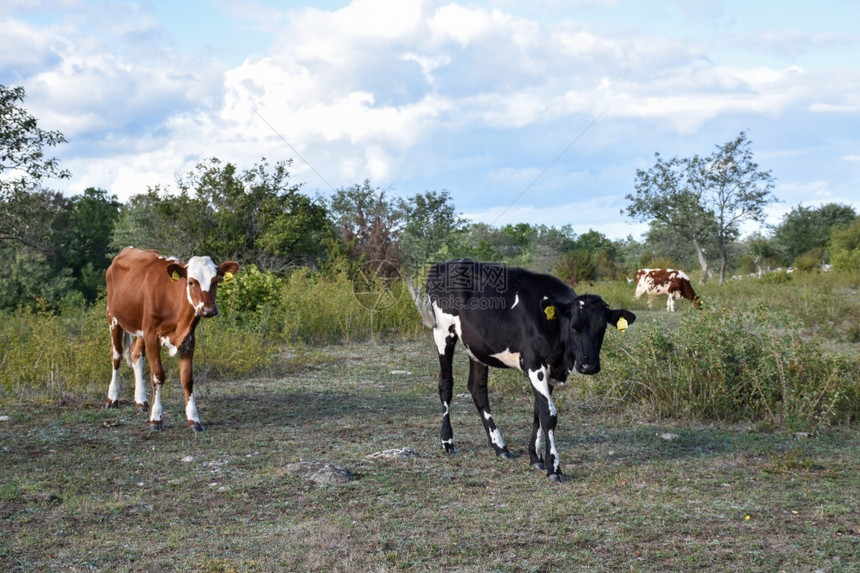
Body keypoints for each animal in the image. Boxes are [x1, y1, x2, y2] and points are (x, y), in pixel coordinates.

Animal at [104, 246, 239, 428]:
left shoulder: (188, 339)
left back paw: (141, 401)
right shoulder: (152, 337)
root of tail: (126, 250)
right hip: (114, 318)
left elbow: (187, 379)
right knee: (116, 356)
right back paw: (112, 399)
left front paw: (194, 419)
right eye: (191, 282)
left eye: (216, 281)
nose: (209, 310)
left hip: (140, 328)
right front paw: (156, 418)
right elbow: (158, 376)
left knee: (136, 356)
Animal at [414, 262, 636, 480]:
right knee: (446, 385)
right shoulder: (534, 363)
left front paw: (535, 457)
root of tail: (443, 264)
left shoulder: (551, 369)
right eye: (574, 327)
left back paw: (500, 446)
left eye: (602, 328)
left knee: (478, 390)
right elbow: (548, 414)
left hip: (476, 346)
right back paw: (447, 441)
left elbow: (538, 411)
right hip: (442, 332)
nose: (588, 366)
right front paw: (554, 468)